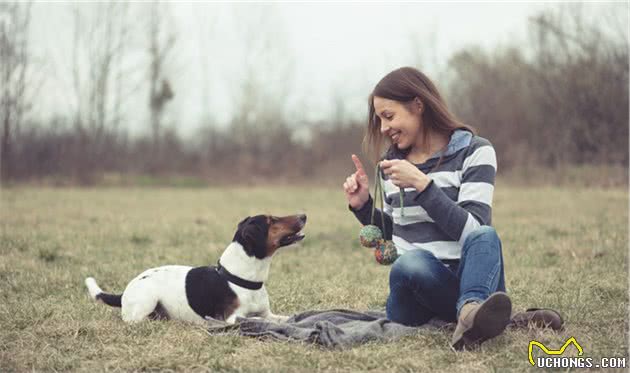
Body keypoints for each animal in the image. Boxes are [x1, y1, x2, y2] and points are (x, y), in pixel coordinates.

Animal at [85, 214, 308, 324]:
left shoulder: (267, 314)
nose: (304, 215)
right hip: (146, 301)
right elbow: (258, 321)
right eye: (272, 220)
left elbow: (283, 319)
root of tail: (124, 292)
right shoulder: (231, 318)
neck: (241, 278)